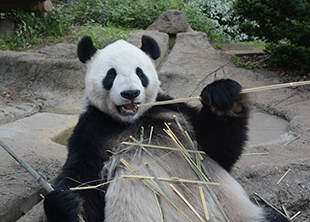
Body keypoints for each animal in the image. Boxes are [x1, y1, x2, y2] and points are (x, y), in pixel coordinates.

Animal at [43, 35, 288, 221]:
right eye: (111, 74)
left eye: (140, 72)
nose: (130, 93)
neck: (133, 120)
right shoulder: (92, 131)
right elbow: (83, 180)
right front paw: (64, 204)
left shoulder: (174, 111)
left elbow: (217, 149)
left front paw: (223, 96)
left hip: (239, 212)